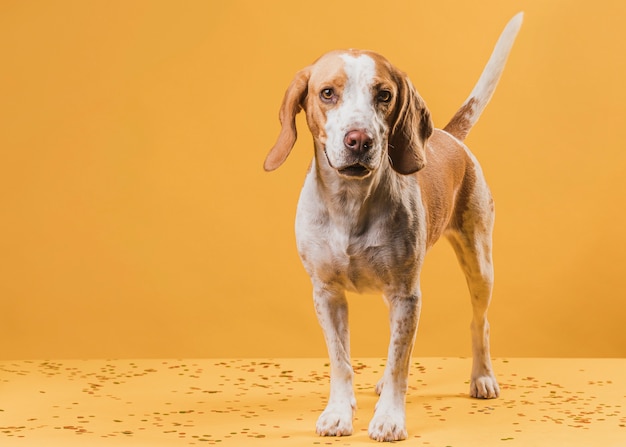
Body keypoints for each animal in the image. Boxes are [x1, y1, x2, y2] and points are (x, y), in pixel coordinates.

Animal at [262, 13, 520, 440]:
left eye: (384, 95)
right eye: (327, 93)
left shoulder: (406, 295)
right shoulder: (327, 294)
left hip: (480, 265)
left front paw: (389, 418)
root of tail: (449, 136)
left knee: (479, 323)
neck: (349, 204)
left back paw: (482, 378)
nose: (359, 139)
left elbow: (401, 359)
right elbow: (341, 360)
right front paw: (338, 412)